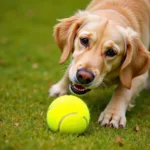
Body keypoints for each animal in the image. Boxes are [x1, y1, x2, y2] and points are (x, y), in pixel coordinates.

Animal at [49, 0, 150, 128]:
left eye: (111, 52)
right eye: (84, 40)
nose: (84, 76)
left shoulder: (139, 75)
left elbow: (123, 91)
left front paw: (113, 114)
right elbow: (70, 68)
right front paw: (60, 88)